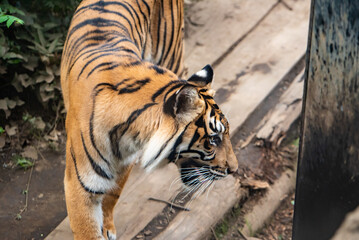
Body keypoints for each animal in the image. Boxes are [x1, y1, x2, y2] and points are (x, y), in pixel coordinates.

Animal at [59, 0, 239, 239]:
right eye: (213, 140)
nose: (234, 170)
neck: (129, 134)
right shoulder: (79, 188)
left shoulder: (124, 162)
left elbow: (112, 194)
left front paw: (107, 227)